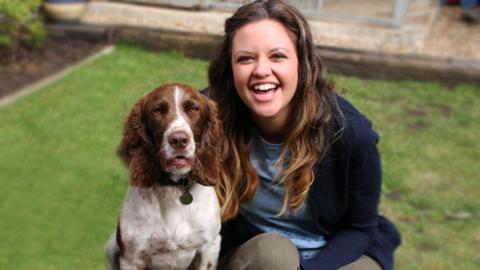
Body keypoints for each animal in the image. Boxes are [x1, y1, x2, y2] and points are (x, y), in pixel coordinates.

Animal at [106, 83, 222, 268]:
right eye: (157, 110)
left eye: (194, 108)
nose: (179, 140)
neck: (173, 189)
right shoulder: (131, 258)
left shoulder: (210, 246)